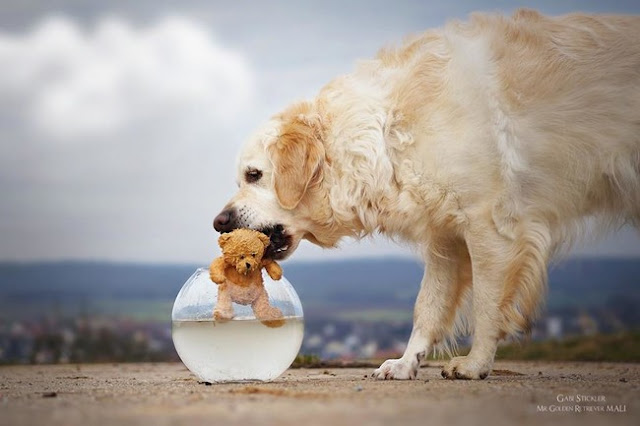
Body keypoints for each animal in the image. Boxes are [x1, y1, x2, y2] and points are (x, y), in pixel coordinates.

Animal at [212, 10, 636, 380]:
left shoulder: (491, 227)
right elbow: (427, 308)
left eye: (254, 175)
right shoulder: (446, 237)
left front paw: (475, 365)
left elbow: (486, 306)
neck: (385, 131)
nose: (218, 222)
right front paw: (405, 364)